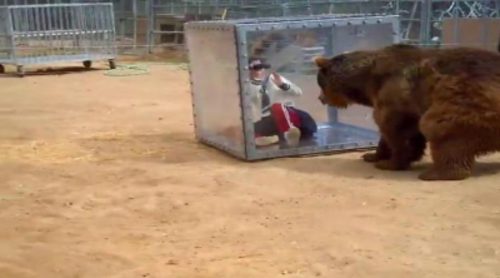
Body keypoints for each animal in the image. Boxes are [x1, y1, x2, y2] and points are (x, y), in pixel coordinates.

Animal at [314, 44, 500, 180]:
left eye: (320, 83)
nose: (320, 98)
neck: (367, 81)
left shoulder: (394, 94)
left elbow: (395, 129)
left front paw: (389, 163)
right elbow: (395, 132)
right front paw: (372, 155)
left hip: (463, 98)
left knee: (437, 125)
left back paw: (436, 173)